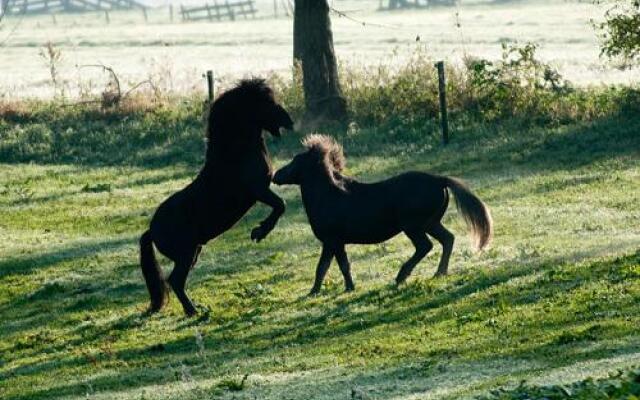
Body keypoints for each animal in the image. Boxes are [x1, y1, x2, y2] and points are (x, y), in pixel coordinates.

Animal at [141, 79, 294, 316]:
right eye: (267, 102)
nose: (289, 122)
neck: (235, 154)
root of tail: (152, 229)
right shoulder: (258, 190)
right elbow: (280, 205)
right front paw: (259, 232)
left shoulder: (264, 188)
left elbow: (280, 204)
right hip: (186, 254)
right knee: (175, 280)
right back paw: (194, 311)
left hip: (193, 251)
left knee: (177, 281)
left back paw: (194, 309)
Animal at [272, 134, 492, 294]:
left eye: (295, 161)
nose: (275, 175)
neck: (328, 196)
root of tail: (440, 180)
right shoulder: (336, 242)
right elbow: (336, 266)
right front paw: (342, 288)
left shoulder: (332, 240)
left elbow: (327, 266)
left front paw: (319, 291)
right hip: (431, 223)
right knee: (448, 239)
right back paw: (439, 273)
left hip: (413, 226)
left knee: (425, 246)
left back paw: (401, 276)